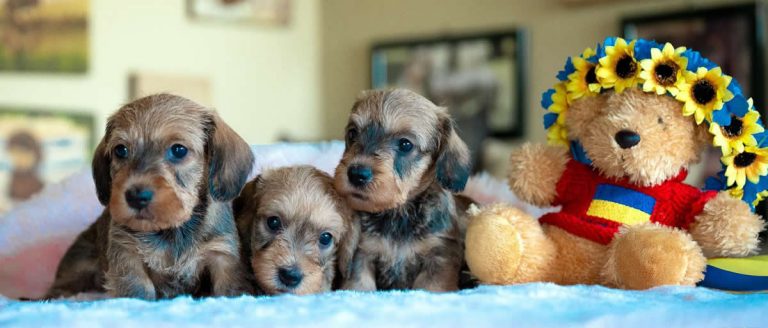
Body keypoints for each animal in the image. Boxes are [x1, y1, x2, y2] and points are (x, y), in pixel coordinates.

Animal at [45, 93, 255, 300]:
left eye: (179, 150)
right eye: (120, 150)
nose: (136, 197)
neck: (171, 230)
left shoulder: (223, 256)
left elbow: (229, 288)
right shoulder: (126, 251)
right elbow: (137, 287)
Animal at [336, 88, 474, 290]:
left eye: (405, 144)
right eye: (353, 133)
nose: (356, 173)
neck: (398, 213)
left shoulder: (438, 258)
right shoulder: (363, 254)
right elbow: (359, 286)